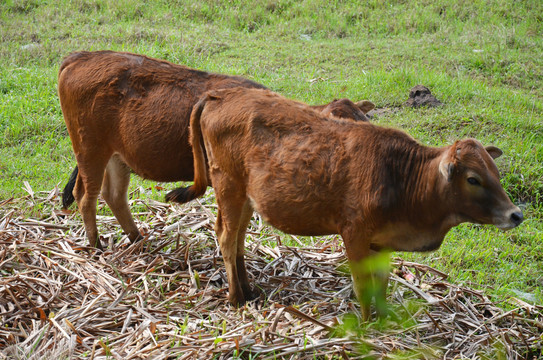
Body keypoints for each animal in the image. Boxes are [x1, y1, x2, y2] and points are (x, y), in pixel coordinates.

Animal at [59, 50, 374, 250]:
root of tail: (81, 56)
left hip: (117, 155)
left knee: (114, 196)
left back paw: (137, 239)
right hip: (89, 149)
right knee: (85, 197)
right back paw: (95, 245)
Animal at [169, 87, 524, 318]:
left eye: (495, 172)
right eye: (473, 179)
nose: (515, 215)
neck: (402, 177)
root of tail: (220, 94)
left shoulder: (383, 242)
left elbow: (382, 282)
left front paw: (383, 318)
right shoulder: (354, 235)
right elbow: (363, 284)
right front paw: (366, 323)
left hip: (245, 199)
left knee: (237, 239)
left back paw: (249, 289)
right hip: (229, 189)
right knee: (227, 239)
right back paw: (236, 297)